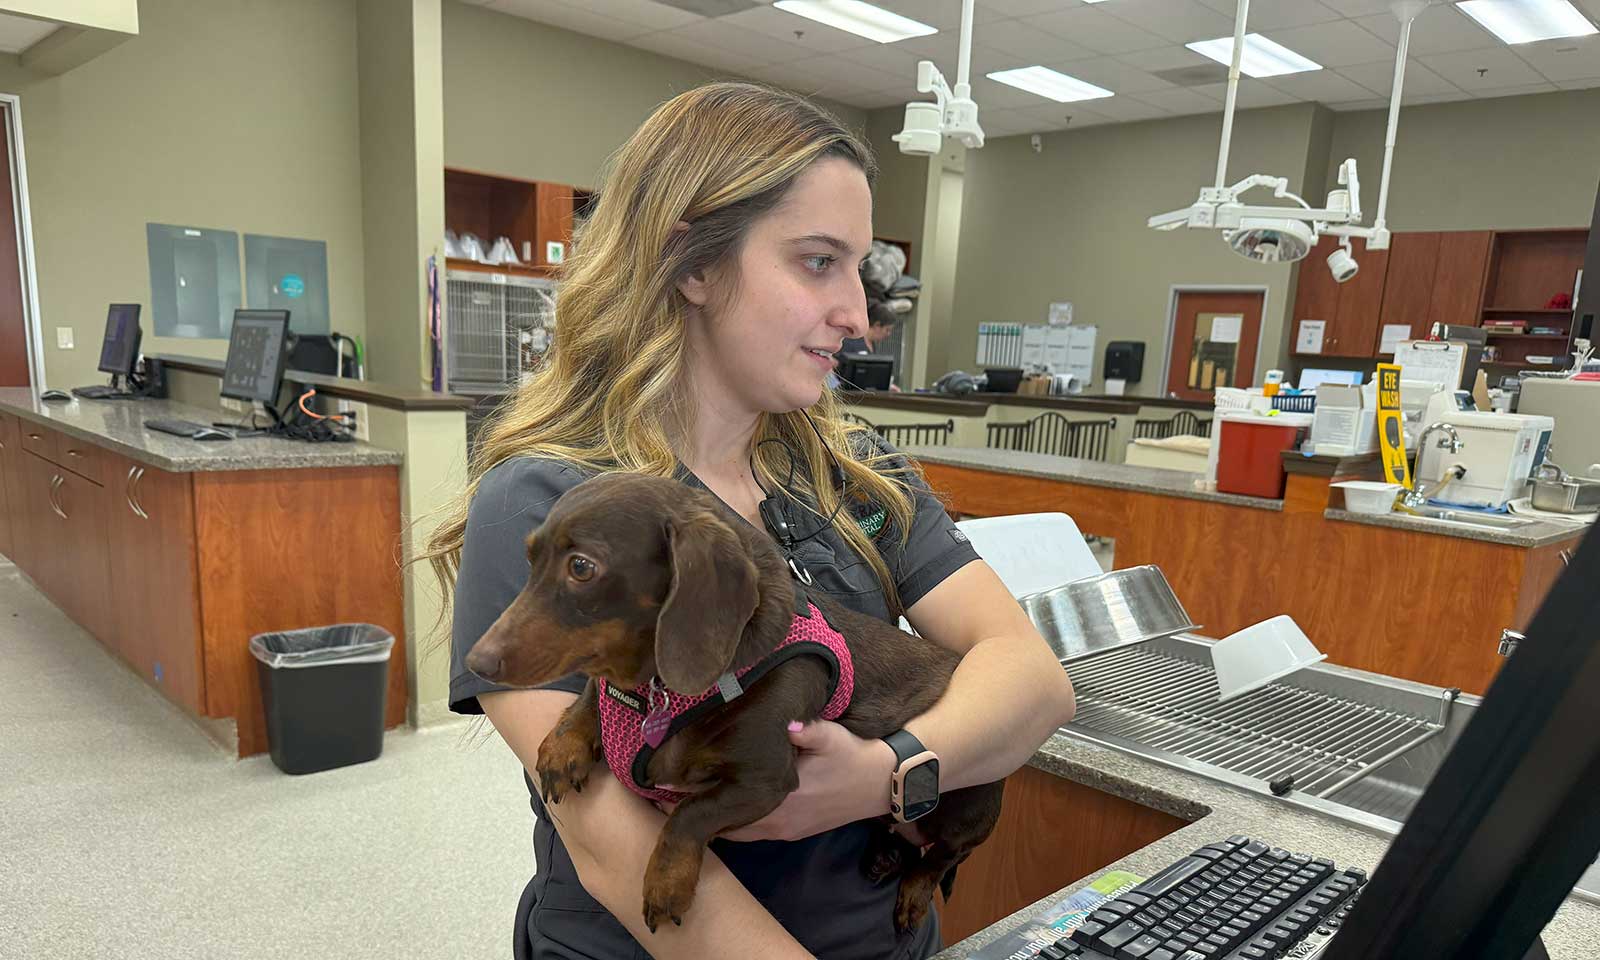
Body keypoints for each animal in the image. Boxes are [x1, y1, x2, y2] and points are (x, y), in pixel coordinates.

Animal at [464, 473, 998, 934]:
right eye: (529, 559)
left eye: (581, 567)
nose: (475, 661)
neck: (660, 690)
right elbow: (591, 693)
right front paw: (563, 747)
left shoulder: (765, 782)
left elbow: (689, 813)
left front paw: (666, 883)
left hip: (968, 804)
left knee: (944, 856)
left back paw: (914, 889)